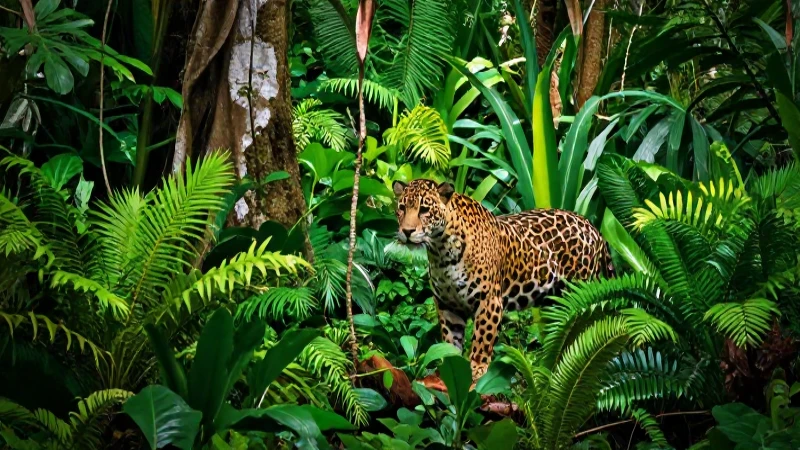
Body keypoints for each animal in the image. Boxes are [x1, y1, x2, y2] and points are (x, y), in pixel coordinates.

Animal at [393, 179, 614, 382]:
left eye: (424, 210)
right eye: (402, 208)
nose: (407, 231)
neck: (441, 252)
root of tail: (593, 227)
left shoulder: (489, 301)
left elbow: (482, 340)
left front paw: (476, 372)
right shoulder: (447, 304)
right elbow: (450, 340)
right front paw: (450, 367)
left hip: (578, 294)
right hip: (556, 302)